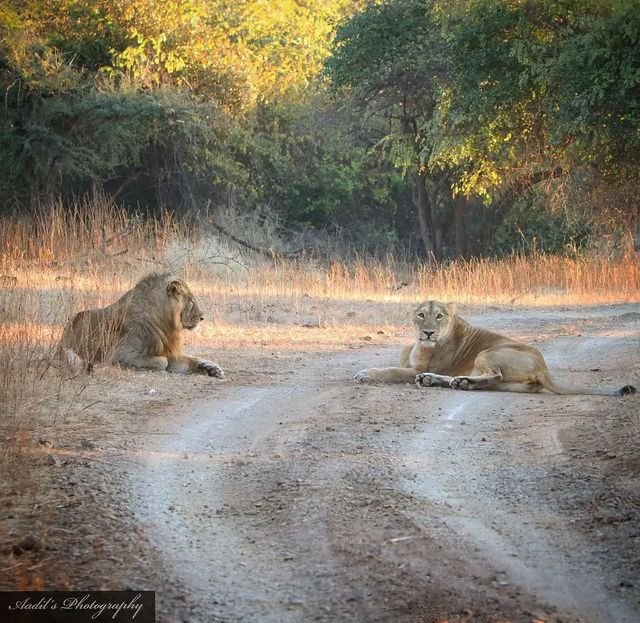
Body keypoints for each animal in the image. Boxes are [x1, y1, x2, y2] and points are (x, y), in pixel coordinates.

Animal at [59, 272, 224, 377]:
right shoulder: (120, 353)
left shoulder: (169, 351)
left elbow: (191, 359)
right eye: (191, 302)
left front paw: (212, 368)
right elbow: (162, 362)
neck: (166, 324)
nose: (202, 317)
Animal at [354, 300, 636, 396]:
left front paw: (364, 374)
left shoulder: (411, 369)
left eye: (440, 316)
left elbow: (390, 371)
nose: (428, 332)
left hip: (488, 352)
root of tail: (544, 368)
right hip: (507, 381)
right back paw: (446, 381)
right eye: (421, 315)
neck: (419, 343)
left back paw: (453, 381)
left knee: (494, 375)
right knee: (488, 381)